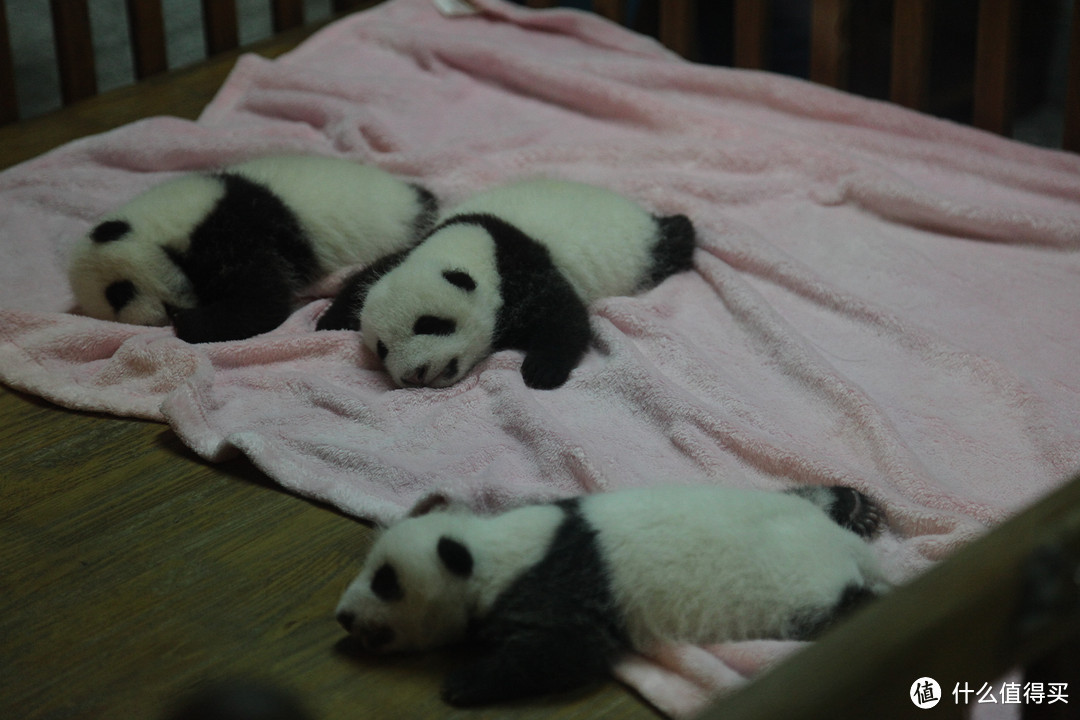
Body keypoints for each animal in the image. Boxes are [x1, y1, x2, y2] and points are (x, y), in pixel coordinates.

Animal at [67, 154, 436, 343]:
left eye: (119, 291)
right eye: (114, 308)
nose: (159, 316)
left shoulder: (227, 224)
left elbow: (263, 296)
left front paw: (189, 323)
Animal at [315, 179, 695, 388]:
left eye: (430, 325)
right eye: (382, 348)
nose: (413, 375)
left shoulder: (522, 273)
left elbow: (564, 315)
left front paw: (541, 371)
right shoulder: (413, 251)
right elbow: (368, 275)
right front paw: (329, 320)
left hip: (641, 247)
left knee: (671, 241)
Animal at [334, 481, 885, 708]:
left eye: (385, 582)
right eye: (371, 570)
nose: (342, 616)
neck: (492, 548)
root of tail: (850, 552)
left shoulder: (560, 586)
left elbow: (568, 652)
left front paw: (464, 683)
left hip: (812, 599)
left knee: (848, 615)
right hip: (790, 510)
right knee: (811, 496)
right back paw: (857, 507)